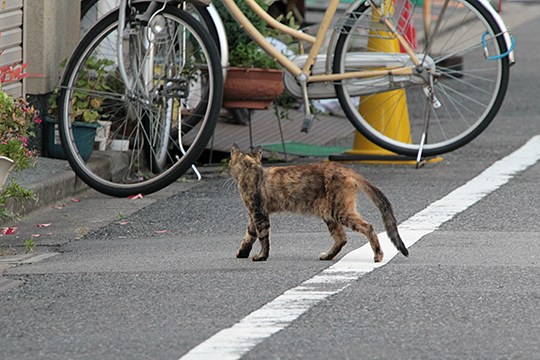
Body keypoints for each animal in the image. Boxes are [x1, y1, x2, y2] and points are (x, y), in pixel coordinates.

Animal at [229, 143, 410, 262]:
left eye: (230, 163)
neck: (252, 169)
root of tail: (344, 168)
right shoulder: (253, 215)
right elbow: (249, 235)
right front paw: (242, 252)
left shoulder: (258, 212)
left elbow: (262, 237)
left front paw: (262, 256)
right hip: (330, 214)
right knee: (341, 238)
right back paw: (327, 256)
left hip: (339, 211)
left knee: (368, 227)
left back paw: (378, 255)